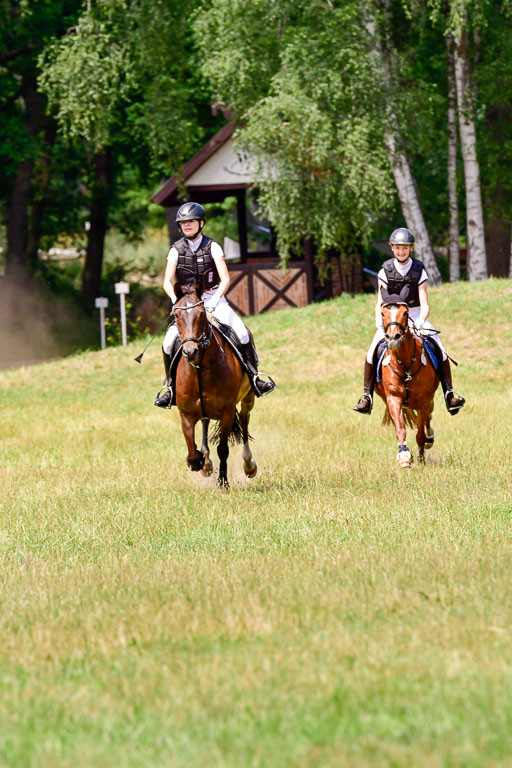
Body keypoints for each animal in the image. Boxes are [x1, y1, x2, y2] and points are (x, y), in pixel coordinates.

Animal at [172, 284, 258, 488]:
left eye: (202, 313)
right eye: (176, 315)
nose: (190, 352)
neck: (199, 369)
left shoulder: (227, 412)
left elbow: (223, 449)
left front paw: (223, 483)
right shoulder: (186, 414)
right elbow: (191, 451)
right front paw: (199, 462)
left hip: (248, 398)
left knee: (244, 420)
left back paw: (249, 465)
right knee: (205, 422)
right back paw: (206, 462)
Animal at [376, 302, 440, 468]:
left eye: (405, 313)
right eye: (383, 313)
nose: (393, 338)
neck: (405, 364)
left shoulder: (424, 401)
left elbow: (420, 434)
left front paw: (421, 458)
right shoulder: (393, 399)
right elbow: (400, 429)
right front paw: (404, 456)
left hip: (429, 400)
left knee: (428, 417)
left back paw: (430, 438)